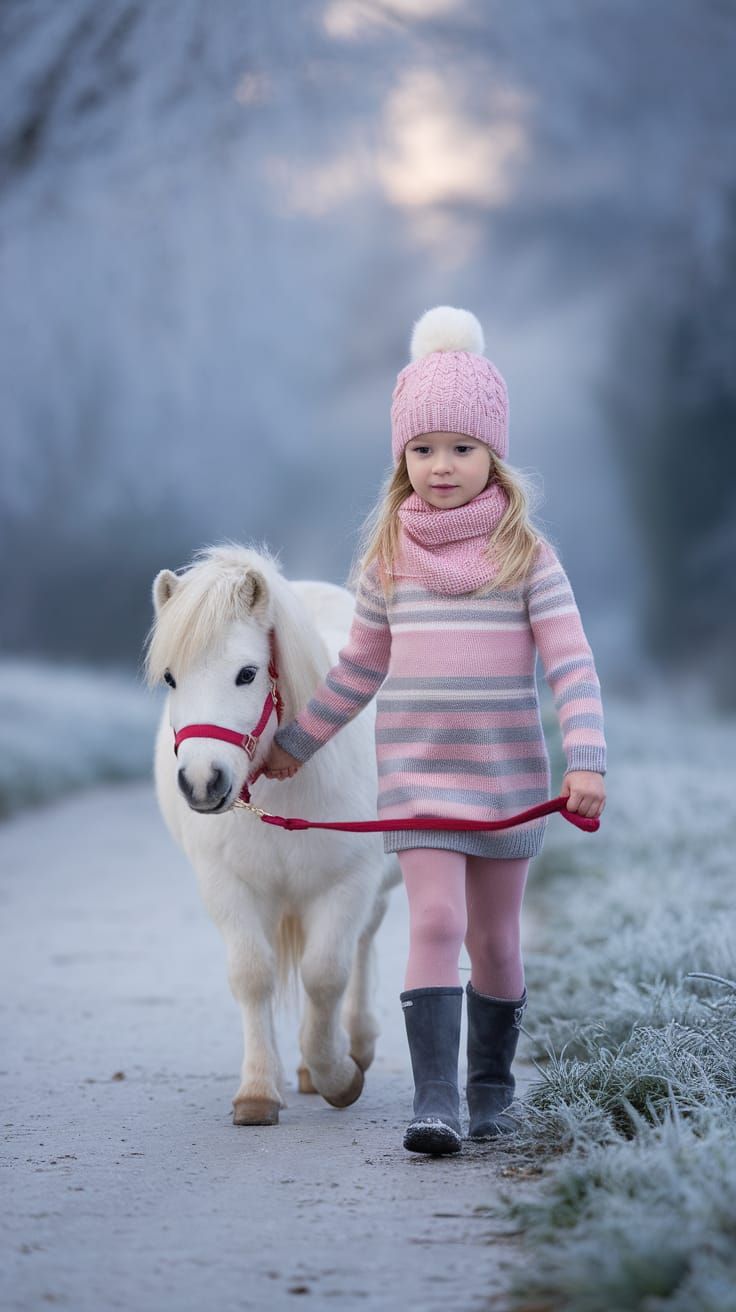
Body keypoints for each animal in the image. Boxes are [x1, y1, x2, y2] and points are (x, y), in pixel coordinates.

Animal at [144, 542, 399, 1127]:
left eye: (247, 673)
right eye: (170, 678)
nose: (203, 781)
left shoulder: (349, 882)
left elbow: (326, 975)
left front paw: (337, 1075)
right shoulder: (228, 886)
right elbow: (252, 976)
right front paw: (258, 1091)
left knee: (363, 944)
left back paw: (353, 1046)